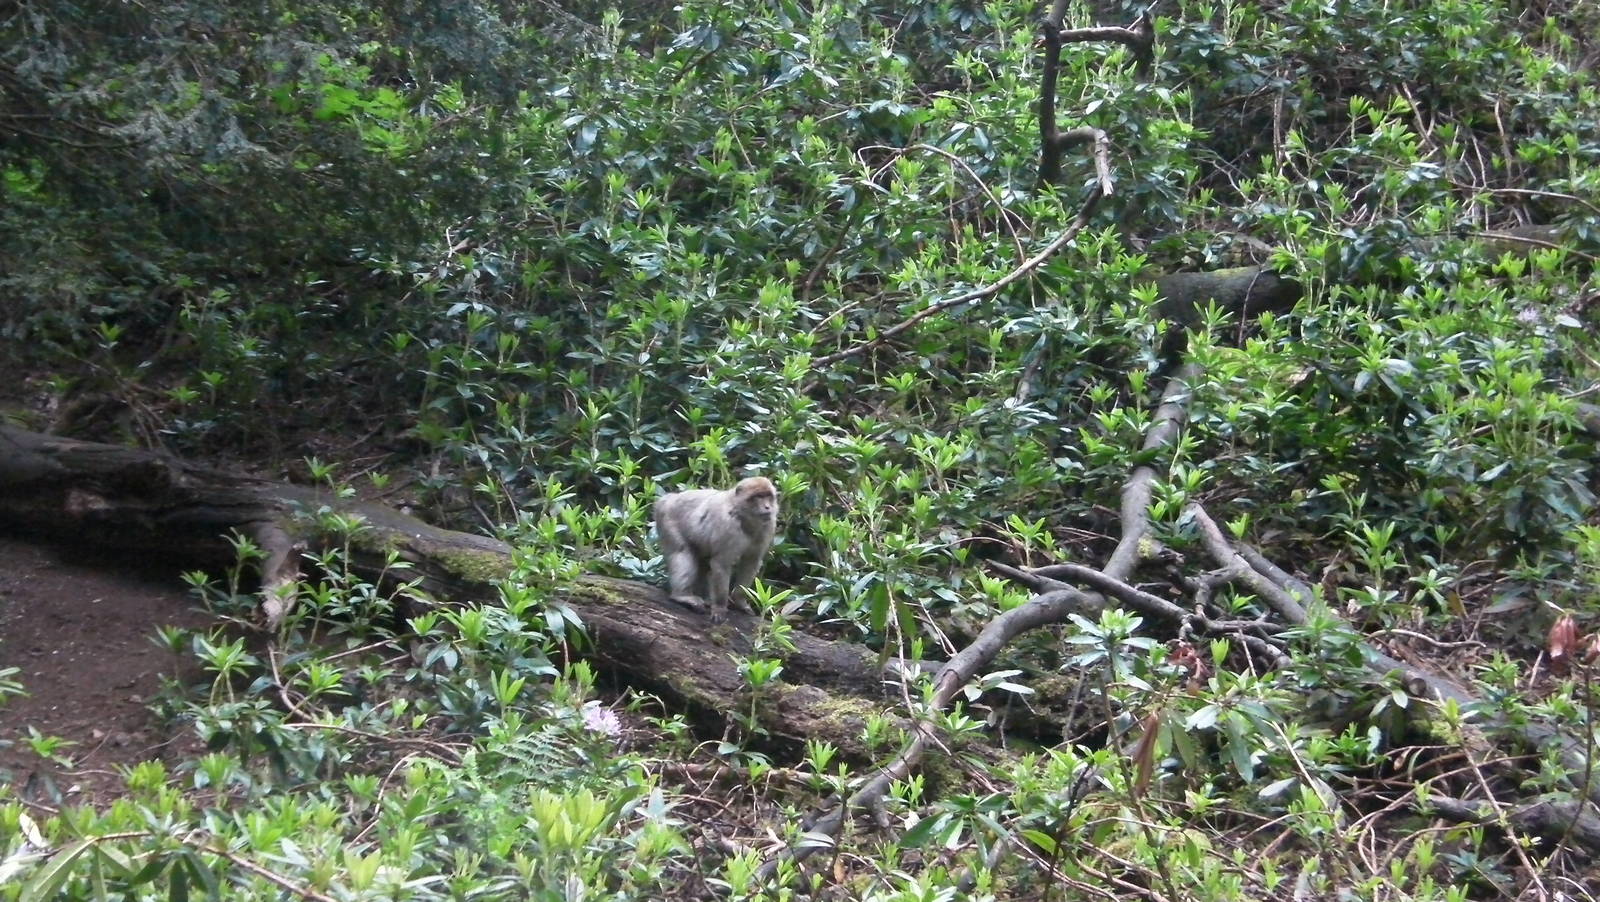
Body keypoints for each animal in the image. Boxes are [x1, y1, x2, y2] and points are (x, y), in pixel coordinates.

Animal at [654, 476, 779, 621]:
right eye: (758, 496)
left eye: (768, 496)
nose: (767, 507)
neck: (742, 515)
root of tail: (668, 499)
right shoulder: (728, 526)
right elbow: (721, 563)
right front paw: (719, 607)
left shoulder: (768, 526)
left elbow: (750, 563)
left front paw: (740, 601)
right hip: (667, 520)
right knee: (682, 552)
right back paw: (682, 595)